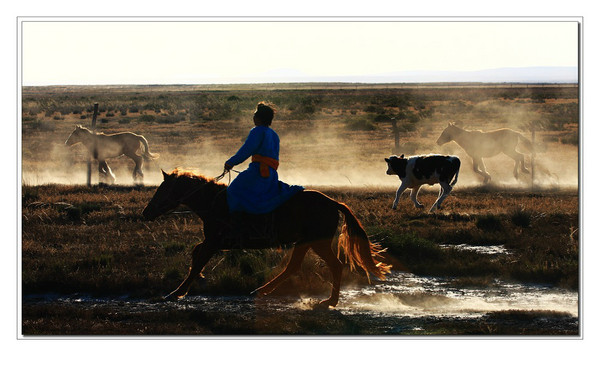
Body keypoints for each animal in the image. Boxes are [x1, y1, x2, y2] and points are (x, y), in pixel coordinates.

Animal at [142, 170, 392, 308]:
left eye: (162, 190)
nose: (146, 212)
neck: (215, 202)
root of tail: (332, 202)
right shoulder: (213, 242)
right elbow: (196, 254)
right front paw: (190, 284)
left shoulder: (215, 243)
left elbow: (197, 263)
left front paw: (175, 292)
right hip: (305, 243)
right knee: (293, 267)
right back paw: (262, 290)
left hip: (318, 243)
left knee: (335, 266)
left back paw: (329, 301)